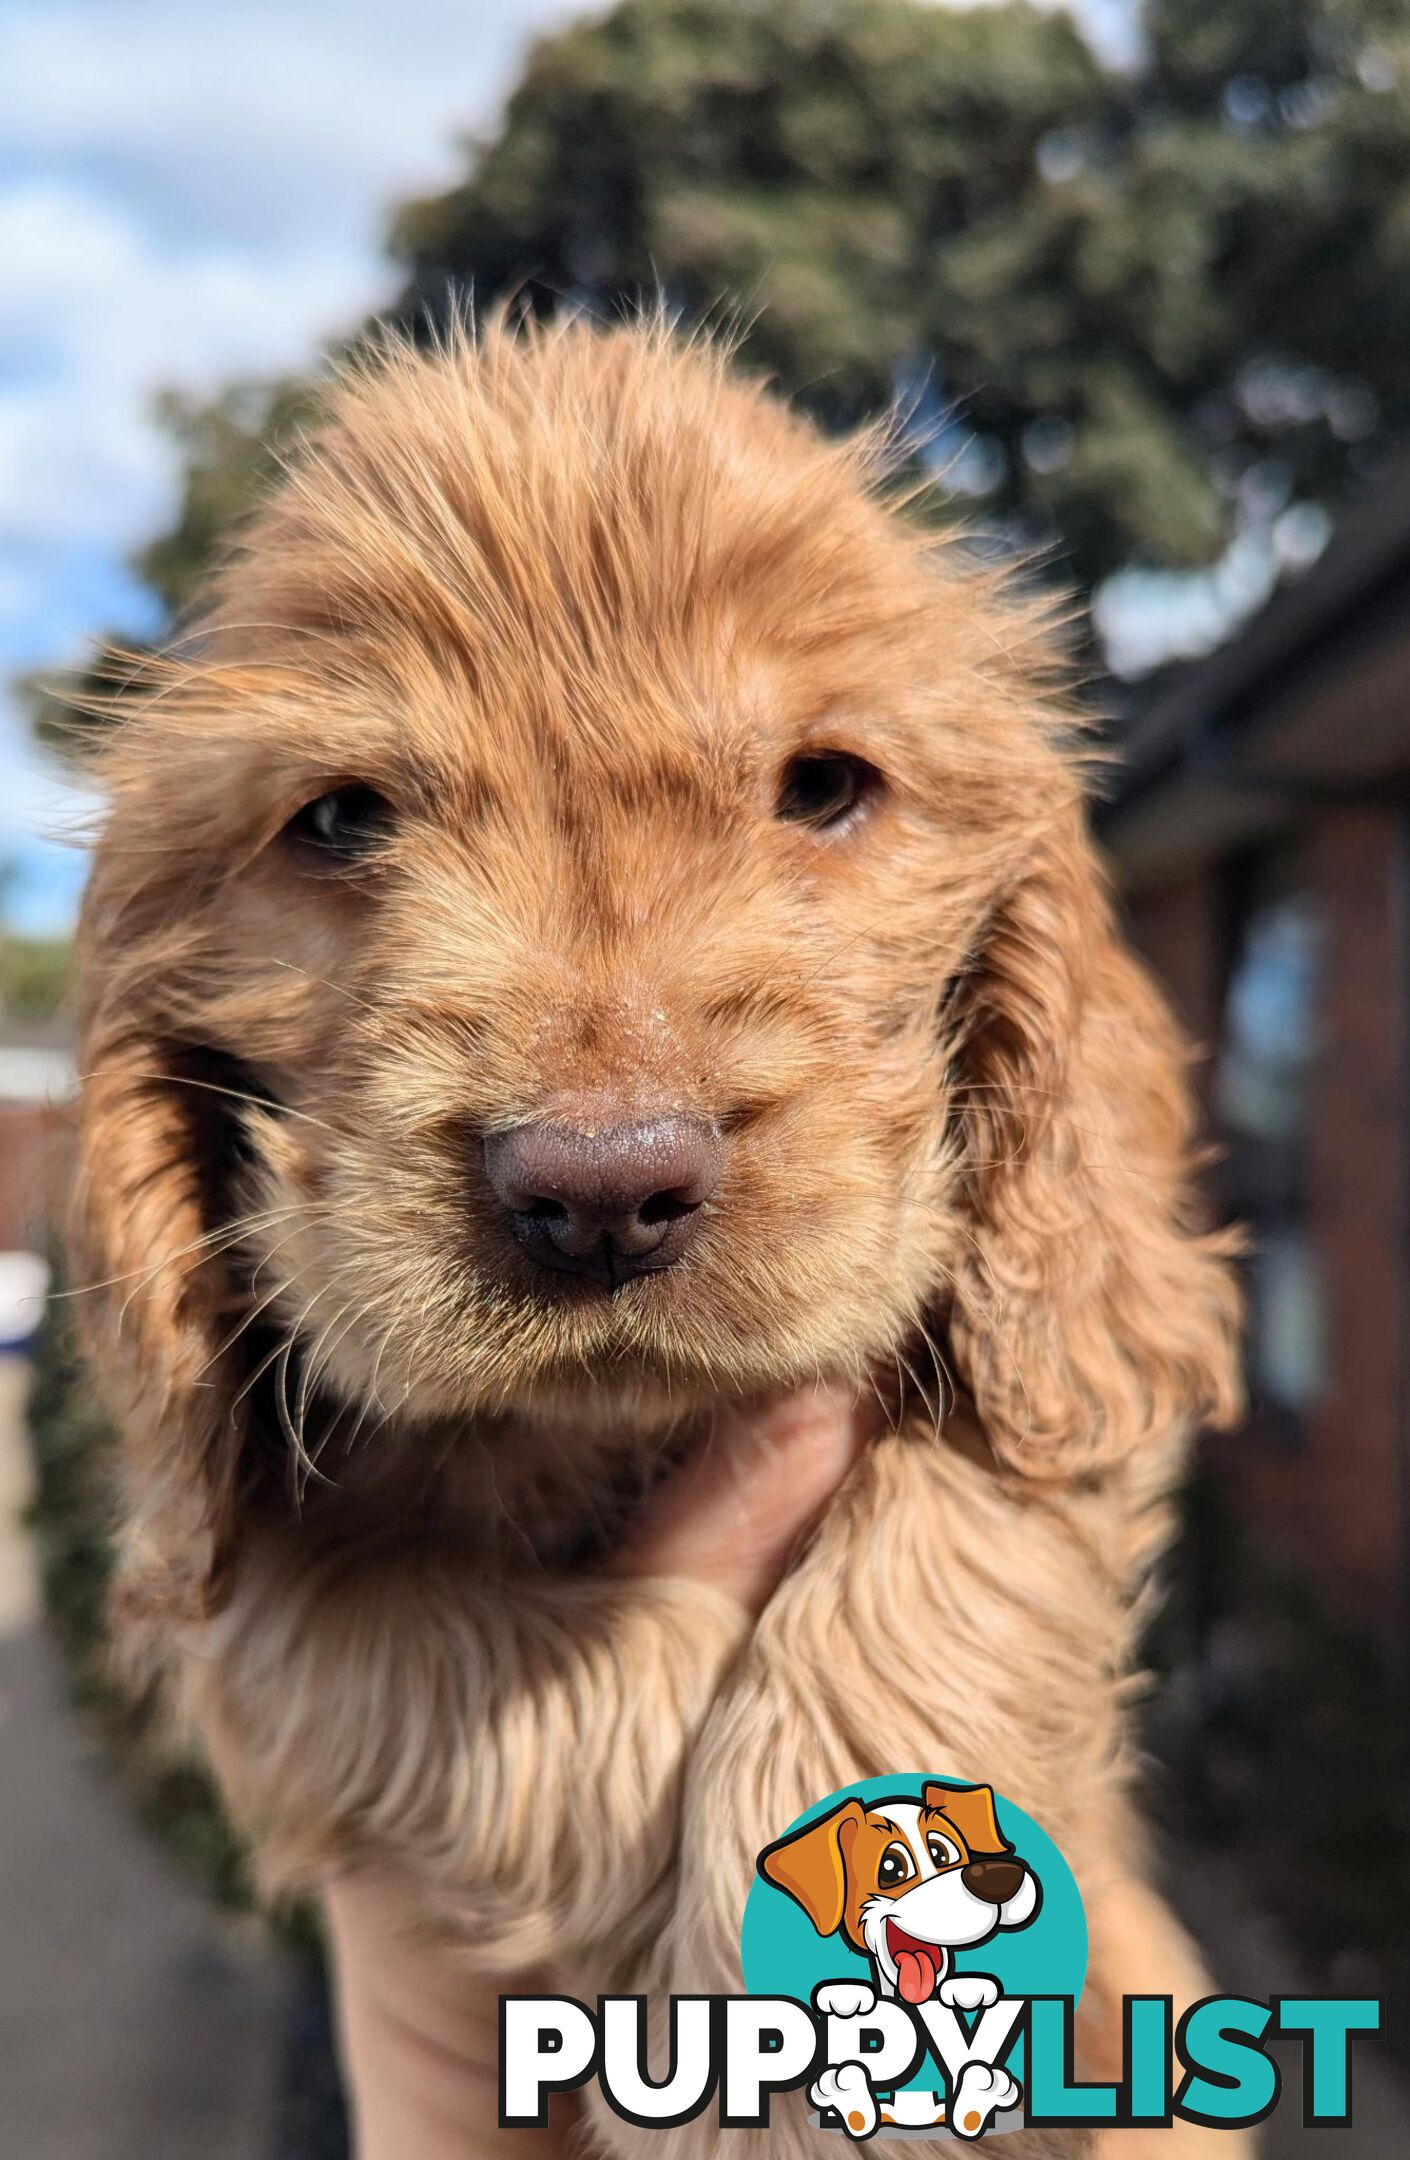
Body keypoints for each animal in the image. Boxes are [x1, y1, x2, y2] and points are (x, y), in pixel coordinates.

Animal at [71, 313, 1243, 2151]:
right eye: (336, 819)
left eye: (826, 788)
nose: (601, 1189)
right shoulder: (245, 1610)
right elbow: (527, 1668)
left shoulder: (1062, 1370)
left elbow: (942, 1555)